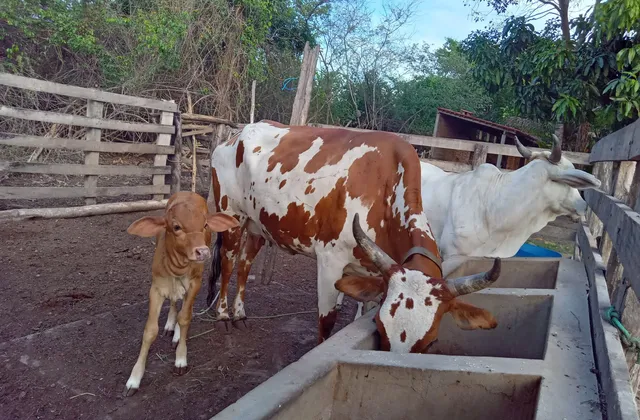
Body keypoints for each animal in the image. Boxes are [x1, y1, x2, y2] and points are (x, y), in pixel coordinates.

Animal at [123, 192, 239, 396]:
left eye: (205, 225)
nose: (203, 252)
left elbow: (185, 318)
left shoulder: (195, 284)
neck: (177, 266)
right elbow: (150, 330)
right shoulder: (156, 287)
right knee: (175, 302)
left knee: (184, 306)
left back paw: (177, 334)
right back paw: (171, 324)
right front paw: (134, 379)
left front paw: (180, 359)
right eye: (176, 227)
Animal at [207, 120, 501, 352]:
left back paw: (239, 313)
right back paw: (222, 315)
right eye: (380, 330)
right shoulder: (330, 262)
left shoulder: (371, 269)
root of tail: (236, 134)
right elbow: (326, 321)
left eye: (430, 342)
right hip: (231, 216)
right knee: (229, 262)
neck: (386, 189)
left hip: (258, 224)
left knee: (245, 263)